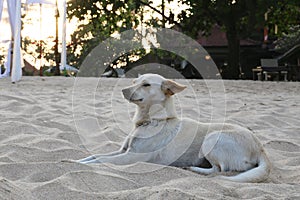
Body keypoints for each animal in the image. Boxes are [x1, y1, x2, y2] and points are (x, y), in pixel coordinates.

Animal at [78, 74, 270, 183]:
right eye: (134, 82)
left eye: (146, 84)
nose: (123, 90)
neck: (151, 121)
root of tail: (260, 148)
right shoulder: (123, 151)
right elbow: (95, 156)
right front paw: (77, 161)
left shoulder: (131, 157)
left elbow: (102, 160)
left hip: (211, 139)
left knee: (219, 170)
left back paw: (194, 169)